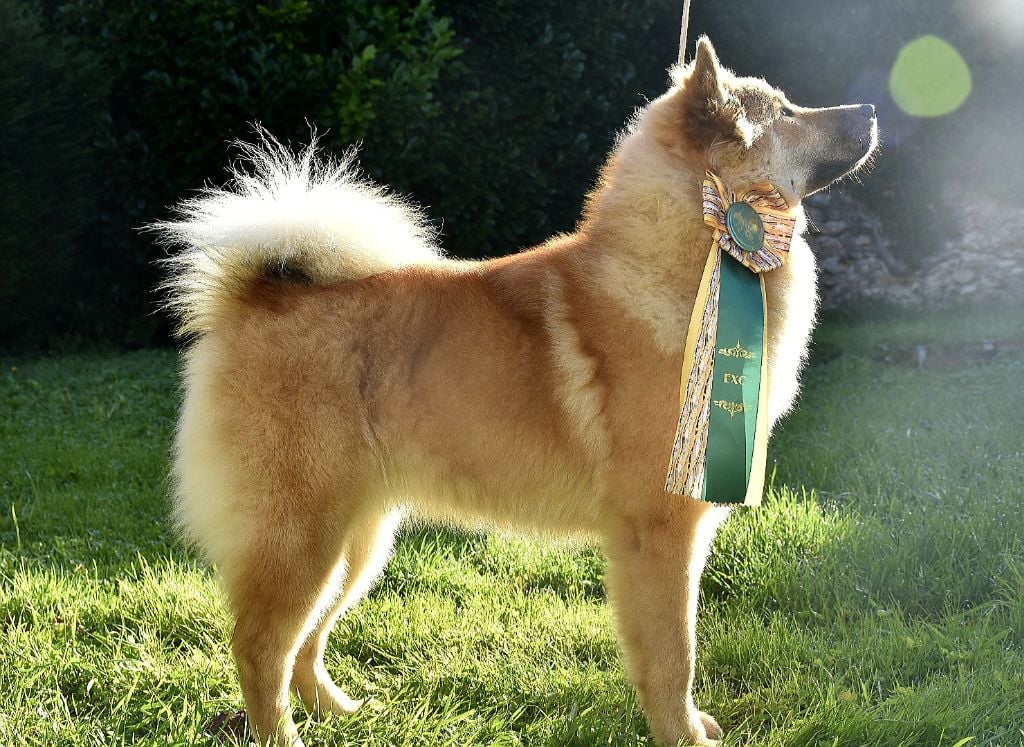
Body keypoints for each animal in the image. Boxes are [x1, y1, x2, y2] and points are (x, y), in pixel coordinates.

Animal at [156, 36, 877, 747]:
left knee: (305, 642)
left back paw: (340, 711)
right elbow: (674, 658)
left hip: (356, 539)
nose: (870, 109)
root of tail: (260, 296)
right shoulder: (659, 532)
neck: (686, 268)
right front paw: (684, 736)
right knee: (260, 648)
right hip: (302, 536)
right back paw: (287, 734)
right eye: (785, 113)